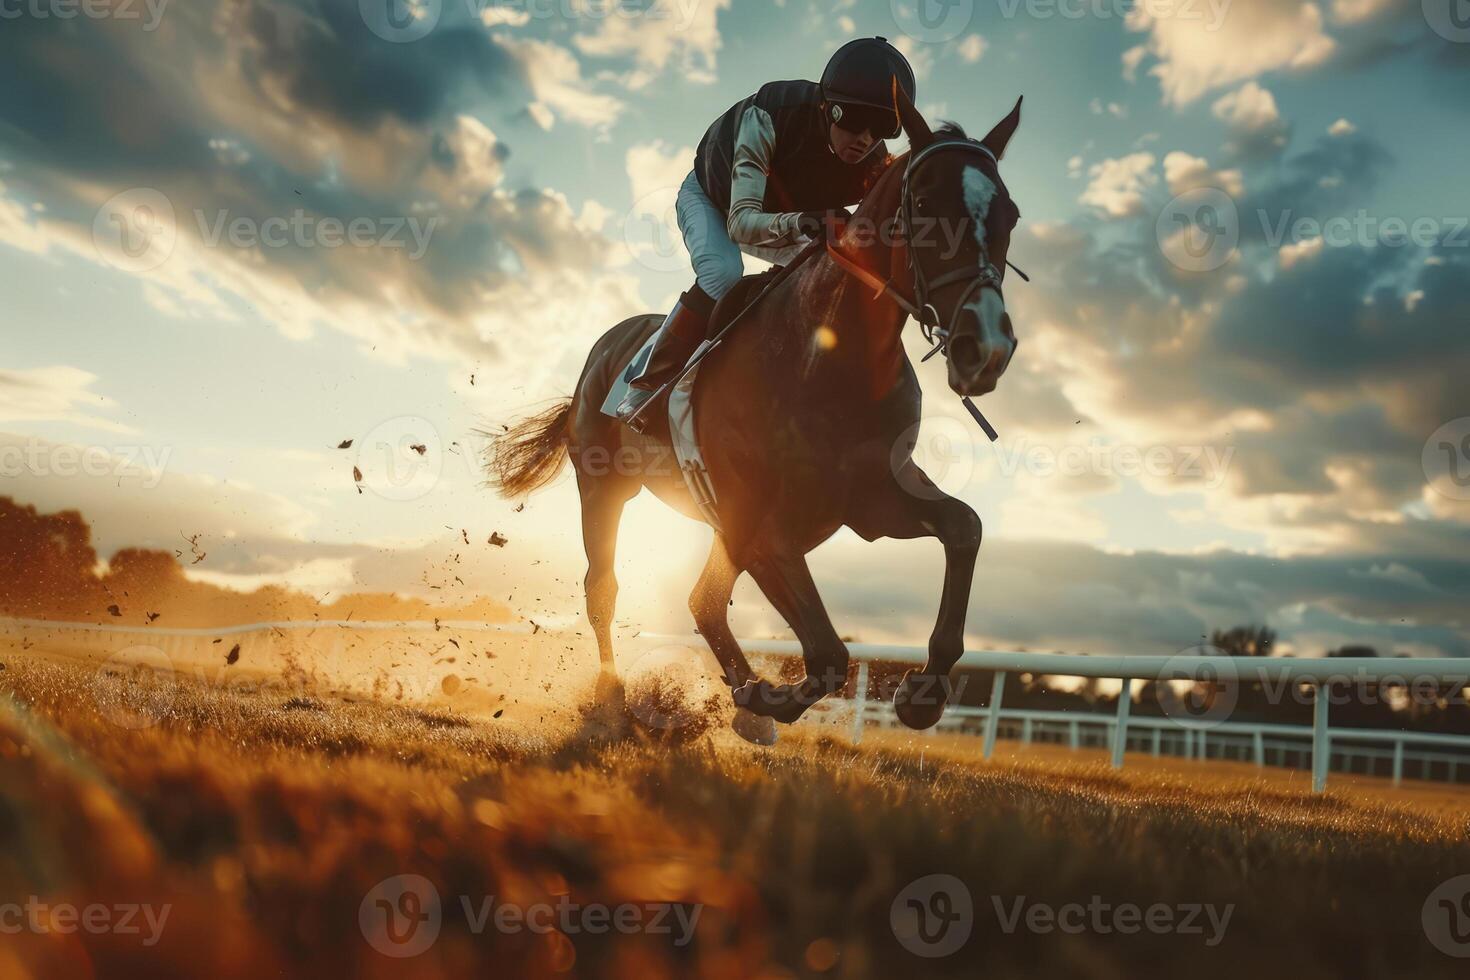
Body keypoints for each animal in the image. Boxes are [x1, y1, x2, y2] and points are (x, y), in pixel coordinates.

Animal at [488, 86, 1017, 743]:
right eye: (923, 204)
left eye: (1010, 216)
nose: (986, 347)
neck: (826, 361)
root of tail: (603, 351)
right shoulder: (763, 522)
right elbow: (827, 654)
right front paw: (766, 698)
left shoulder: (869, 501)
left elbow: (964, 527)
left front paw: (923, 693)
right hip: (606, 489)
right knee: (606, 590)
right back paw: (615, 698)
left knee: (702, 600)